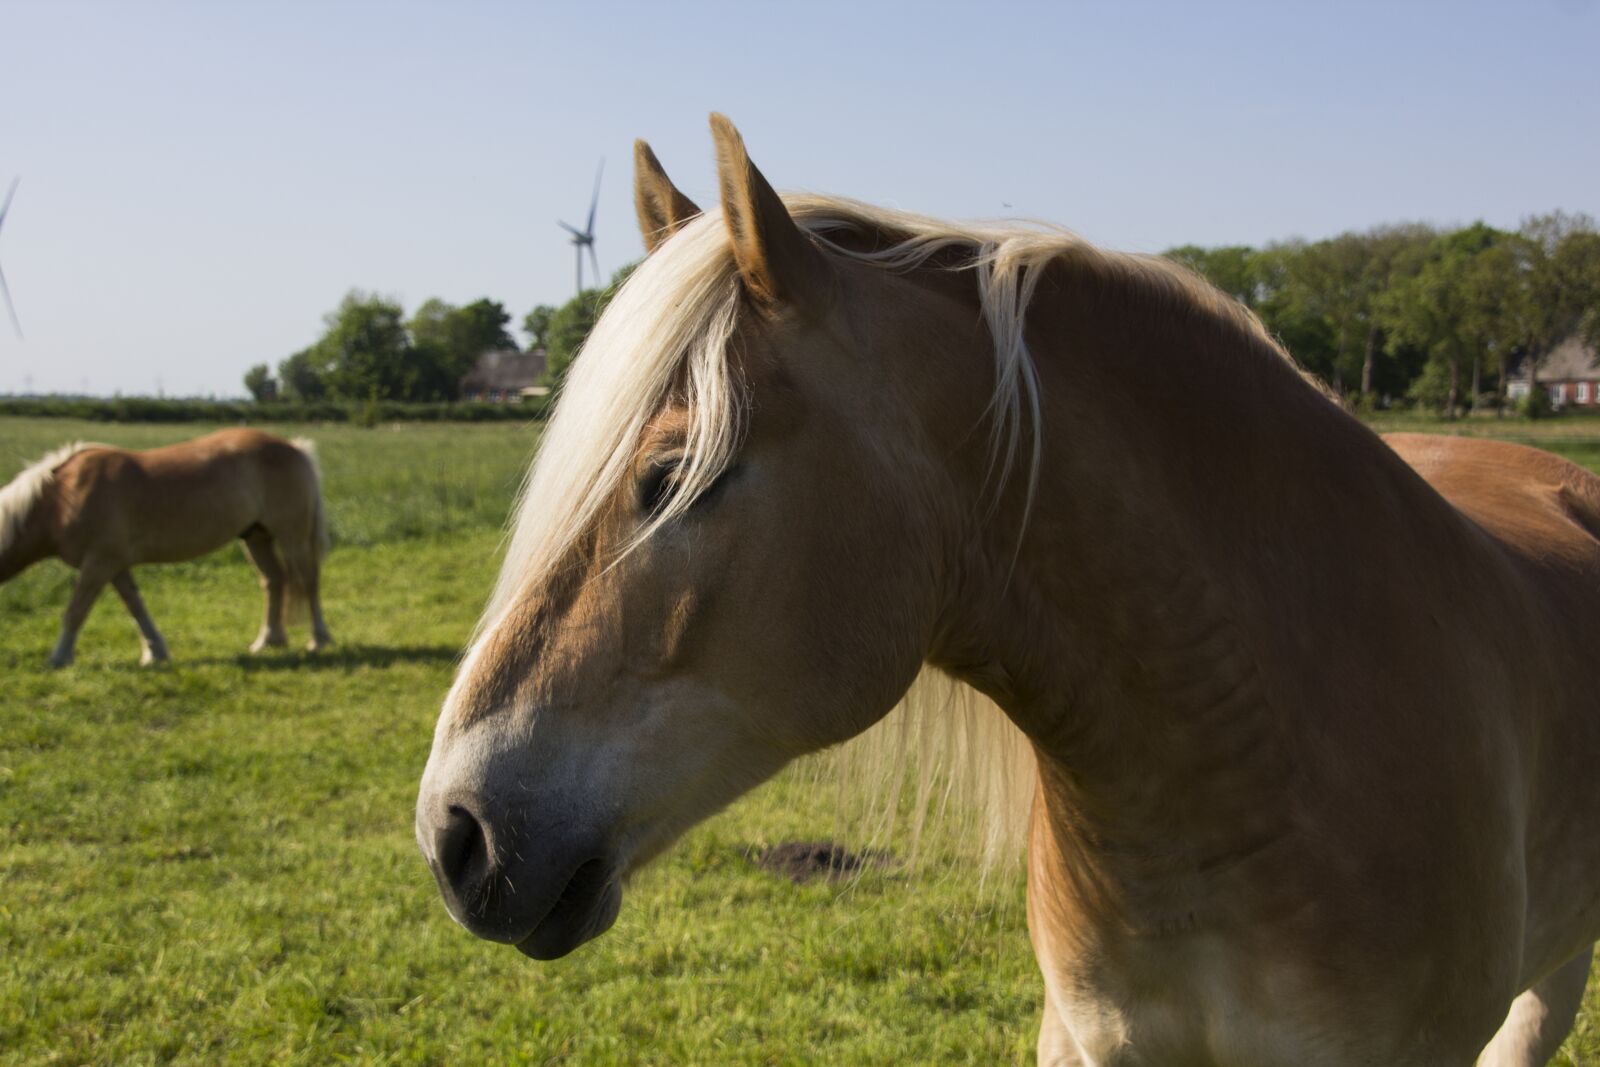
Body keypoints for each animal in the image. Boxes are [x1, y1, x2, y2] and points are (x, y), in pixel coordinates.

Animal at [0, 428, 331, 667]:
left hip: (292, 537)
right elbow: (135, 606)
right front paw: (155, 652)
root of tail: (295, 447)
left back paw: (319, 639)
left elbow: (75, 611)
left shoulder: (99, 563)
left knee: (309, 581)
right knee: (274, 581)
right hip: (256, 537)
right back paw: (268, 640)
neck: (65, 496)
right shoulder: (114, 565)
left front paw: (58, 658)